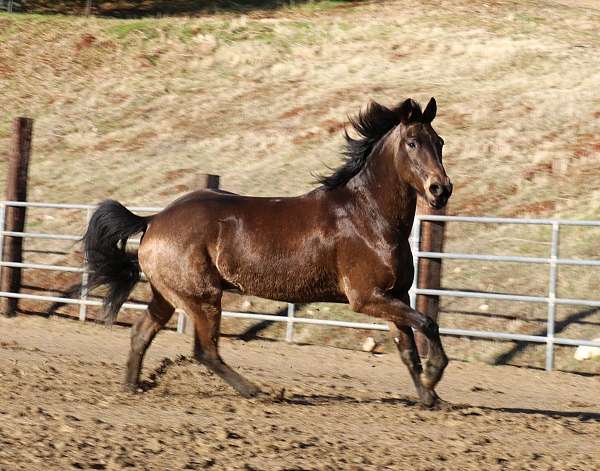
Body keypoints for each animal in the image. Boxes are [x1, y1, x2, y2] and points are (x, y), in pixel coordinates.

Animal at [83, 97, 450, 410]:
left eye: (440, 142)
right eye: (412, 142)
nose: (441, 189)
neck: (368, 216)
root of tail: (153, 220)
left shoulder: (394, 294)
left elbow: (408, 349)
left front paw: (430, 398)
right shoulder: (367, 297)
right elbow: (428, 323)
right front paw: (434, 374)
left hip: (169, 295)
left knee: (141, 332)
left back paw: (132, 387)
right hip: (202, 297)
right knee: (205, 350)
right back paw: (259, 392)